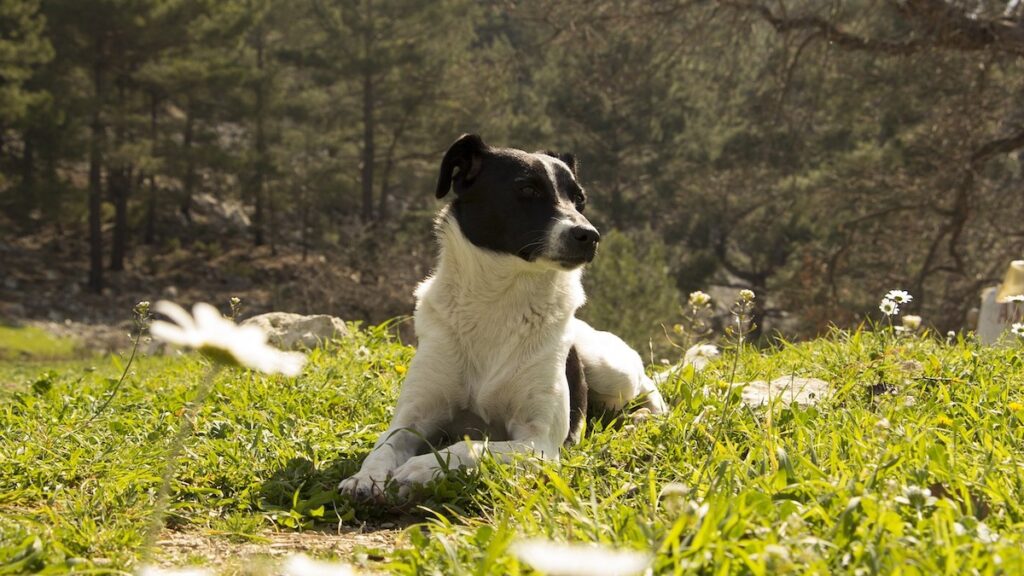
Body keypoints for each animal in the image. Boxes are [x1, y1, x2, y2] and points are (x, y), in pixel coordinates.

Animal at [339, 134, 667, 498]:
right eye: (527, 189)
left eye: (579, 199)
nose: (590, 236)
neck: (498, 301)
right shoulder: (411, 419)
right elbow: (383, 447)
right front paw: (366, 476)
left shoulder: (538, 442)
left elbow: (470, 447)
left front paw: (421, 468)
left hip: (609, 369)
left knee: (646, 385)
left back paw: (645, 416)